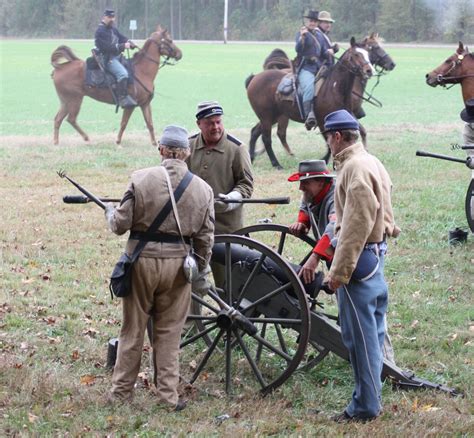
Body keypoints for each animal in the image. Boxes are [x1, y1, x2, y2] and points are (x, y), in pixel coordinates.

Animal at [50, 27, 181, 147]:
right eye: (169, 40)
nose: (180, 54)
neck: (141, 71)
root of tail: (59, 68)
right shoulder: (130, 106)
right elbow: (123, 124)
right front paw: (118, 141)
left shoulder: (145, 104)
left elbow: (150, 124)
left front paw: (154, 143)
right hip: (74, 100)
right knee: (71, 119)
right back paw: (86, 138)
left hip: (65, 101)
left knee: (58, 119)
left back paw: (56, 142)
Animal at [246, 33, 394, 168]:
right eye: (357, 54)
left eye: (367, 53)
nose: (369, 70)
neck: (334, 88)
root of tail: (254, 78)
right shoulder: (323, 120)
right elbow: (330, 141)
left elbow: (356, 133)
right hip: (267, 116)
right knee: (267, 138)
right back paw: (276, 163)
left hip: (273, 116)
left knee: (255, 132)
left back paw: (251, 157)